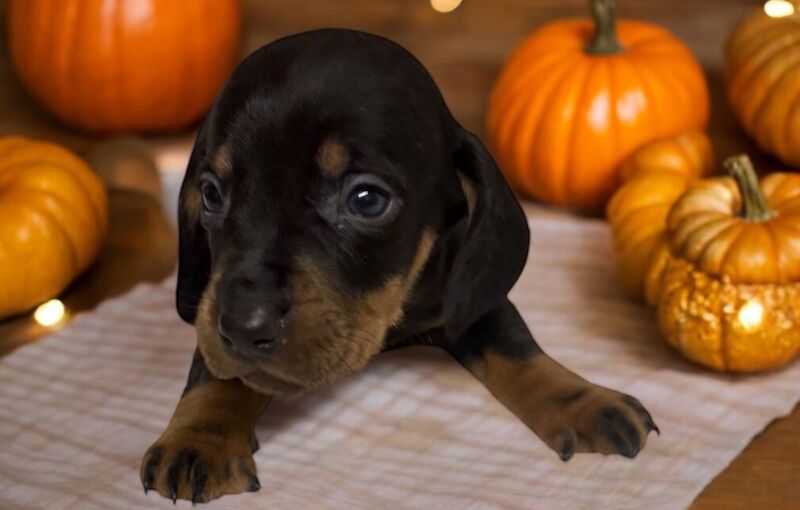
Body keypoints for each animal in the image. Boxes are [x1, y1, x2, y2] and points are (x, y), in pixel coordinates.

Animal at [142, 29, 656, 504]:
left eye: (367, 200)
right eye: (211, 194)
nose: (244, 326)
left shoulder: (471, 298)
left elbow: (518, 349)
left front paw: (582, 399)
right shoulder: (212, 305)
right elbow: (217, 370)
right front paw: (200, 438)